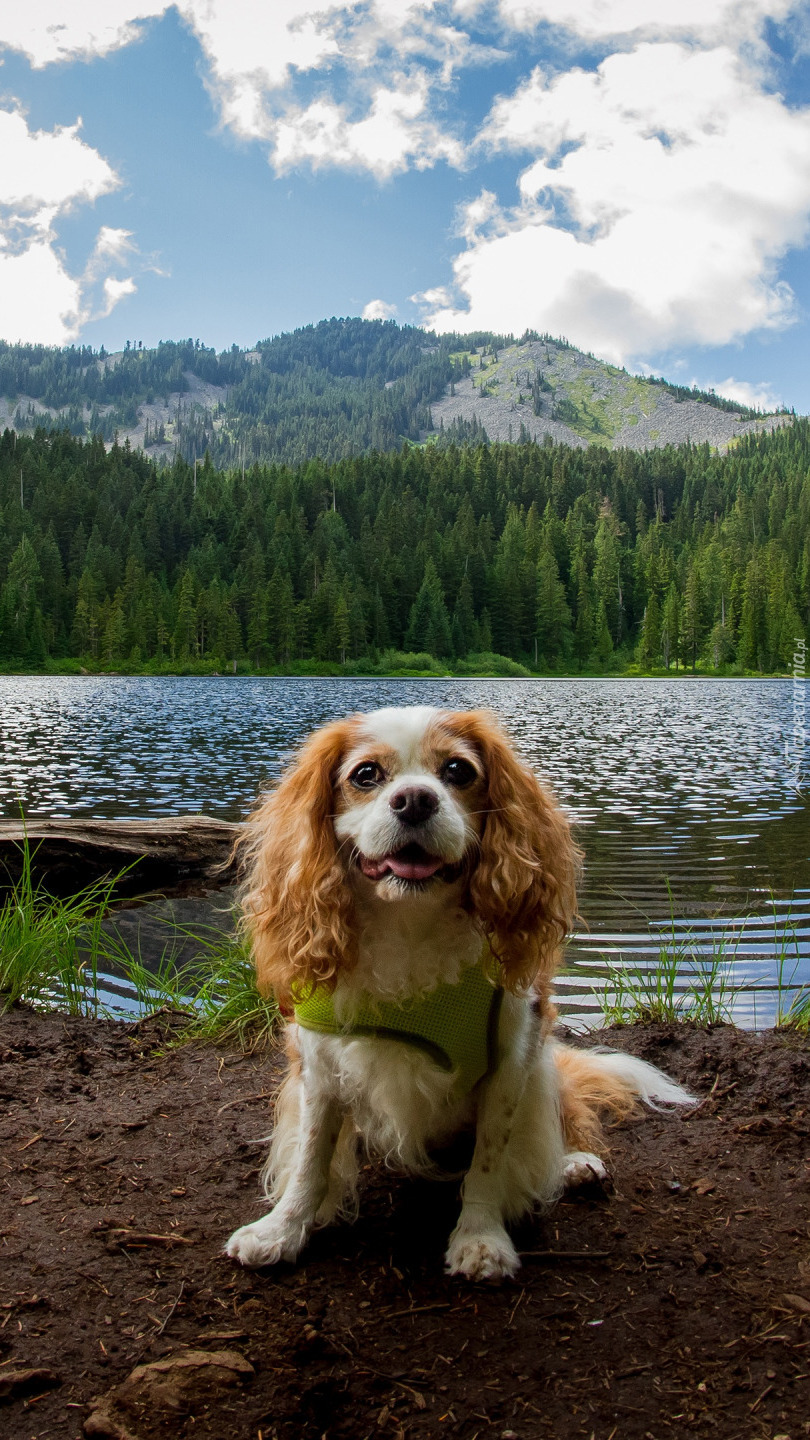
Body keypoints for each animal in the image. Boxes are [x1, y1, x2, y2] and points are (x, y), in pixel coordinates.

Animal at [223, 702, 691, 1278]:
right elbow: (311, 1159)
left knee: (563, 1113)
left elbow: (488, 1162)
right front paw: (283, 1230)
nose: (416, 799)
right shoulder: (320, 1065)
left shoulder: (512, 1059)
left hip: (544, 1065)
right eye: (366, 775)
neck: (410, 920)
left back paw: (574, 1160)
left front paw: (481, 1238)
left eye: (458, 771)